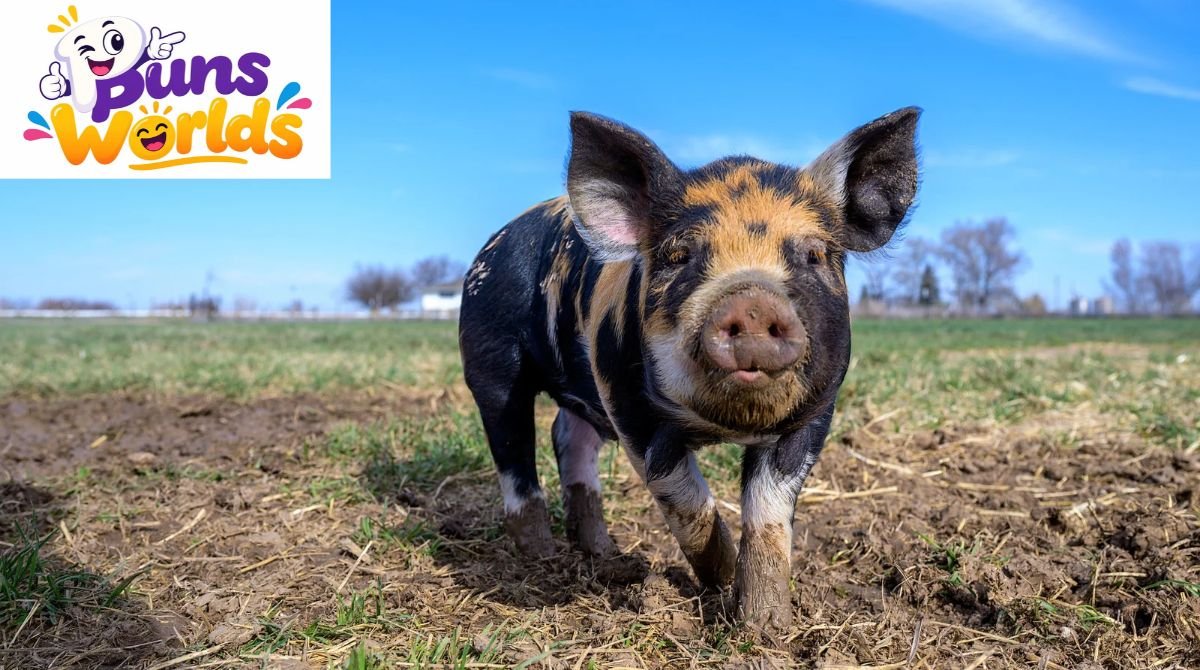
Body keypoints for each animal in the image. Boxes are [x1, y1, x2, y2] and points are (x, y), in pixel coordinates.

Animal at [459, 107, 920, 631]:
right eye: (679, 256)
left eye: (815, 255)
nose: (753, 302)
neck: (725, 426)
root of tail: (498, 238)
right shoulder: (628, 406)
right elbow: (686, 502)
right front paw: (719, 581)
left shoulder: (816, 413)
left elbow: (769, 515)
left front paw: (765, 626)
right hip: (490, 357)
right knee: (514, 449)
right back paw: (541, 556)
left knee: (568, 439)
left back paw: (602, 554)